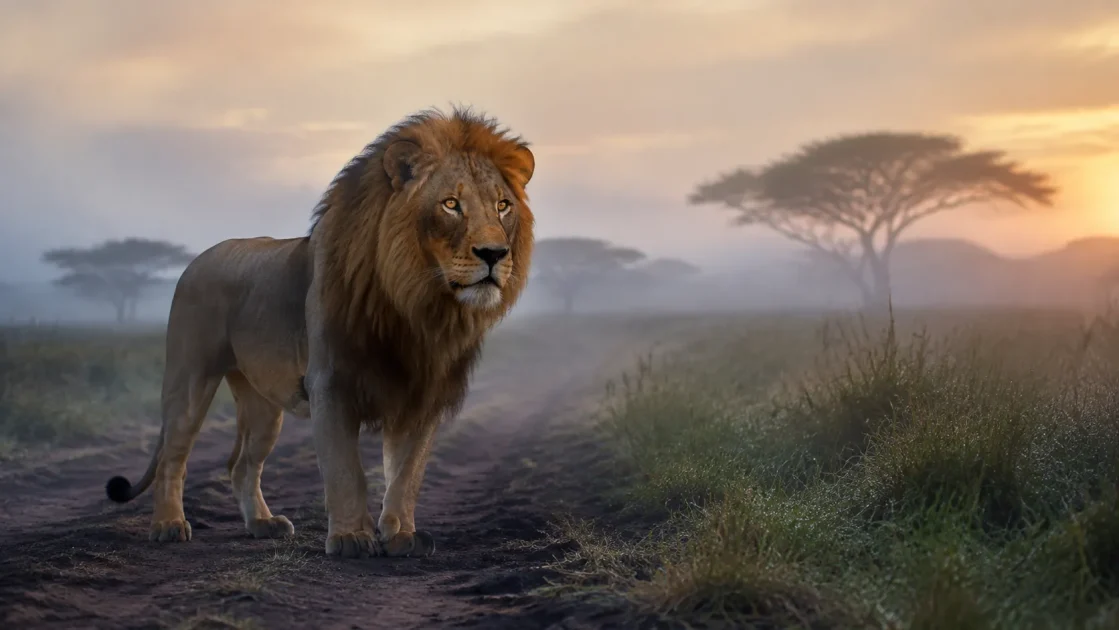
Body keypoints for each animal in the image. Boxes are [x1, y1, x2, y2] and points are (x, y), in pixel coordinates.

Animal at [104, 107, 535, 559]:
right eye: (451, 204)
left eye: (503, 206)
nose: (495, 254)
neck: (417, 304)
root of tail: (200, 257)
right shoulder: (331, 383)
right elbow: (346, 469)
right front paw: (350, 538)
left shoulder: (423, 394)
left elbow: (407, 473)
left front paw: (401, 534)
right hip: (190, 377)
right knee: (173, 456)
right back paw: (168, 524)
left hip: (261, 402)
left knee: (242, 465)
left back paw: (262, 524)